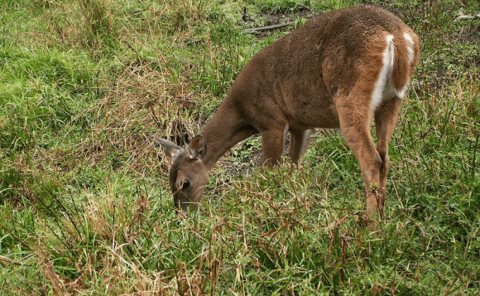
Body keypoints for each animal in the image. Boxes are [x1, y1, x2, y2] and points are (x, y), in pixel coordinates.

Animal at [157, 5, 416, 221]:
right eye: (169, 182)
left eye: (184, 183)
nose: (182, 214)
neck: (243, 111)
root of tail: (397, 37)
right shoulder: (300, 124)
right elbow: (293, 164)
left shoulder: (271, 121)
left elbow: (269, 168)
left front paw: (267, 205)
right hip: (392, 99)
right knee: (384, 156)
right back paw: (382, 215)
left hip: (351, 96)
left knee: (371, 158)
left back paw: (369, 222)